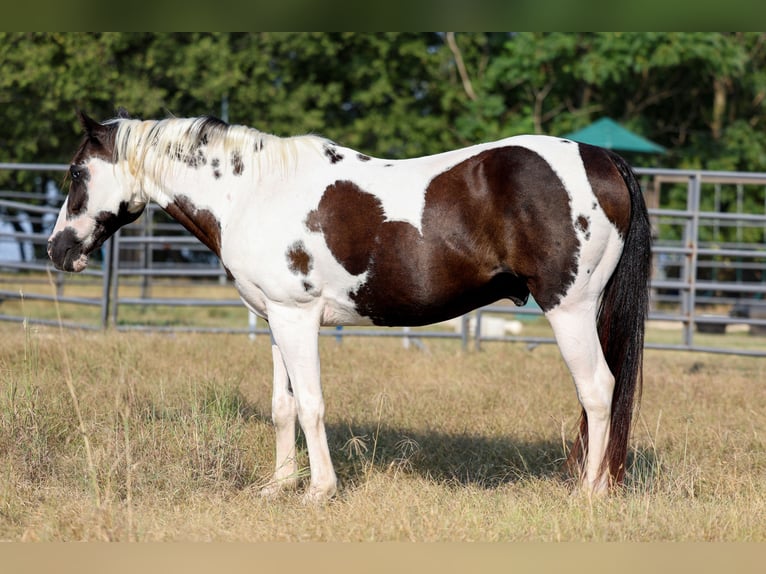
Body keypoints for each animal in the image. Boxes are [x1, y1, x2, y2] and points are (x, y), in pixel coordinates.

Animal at [48, 110, 651, 503]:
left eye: (76, 173)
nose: (57, 250)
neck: (252, 194)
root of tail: (601, 158)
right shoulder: (275, 320)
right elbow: (283, 406)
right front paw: (279, 486)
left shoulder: (297, 318)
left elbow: (312, 405)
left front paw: (319, 491)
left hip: (571, 309)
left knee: (598, 390)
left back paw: (592, 493)